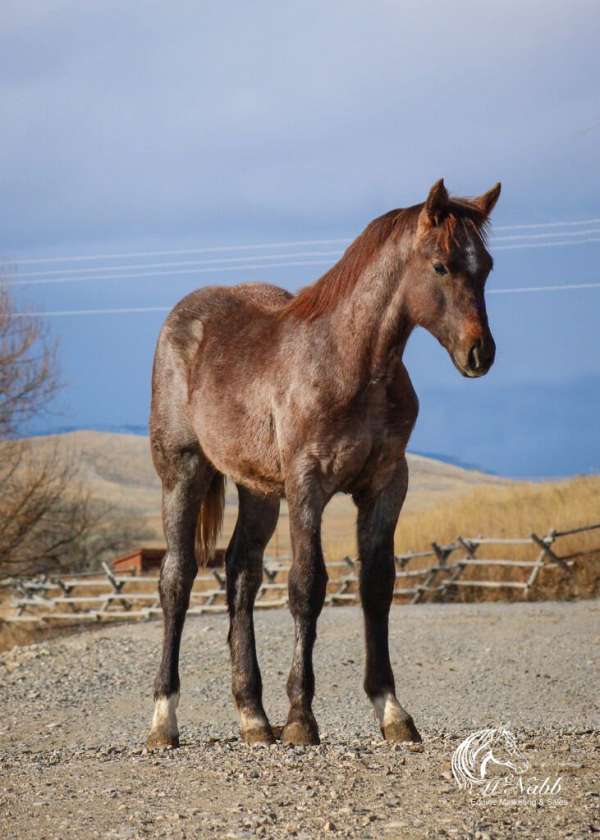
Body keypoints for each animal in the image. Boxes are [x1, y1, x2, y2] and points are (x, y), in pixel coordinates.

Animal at [146, 177, 502, 748]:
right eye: (442, 266)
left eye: (485, 265)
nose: (479, 353)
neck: (350, 364)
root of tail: (181, 320)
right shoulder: (307, 484)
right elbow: (307, 586)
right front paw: (300, 718)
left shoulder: (386, 485)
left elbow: (377, 586)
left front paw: (391, 710)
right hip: (183, 473)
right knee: (176, 580)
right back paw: (164, 719)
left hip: (258, 491)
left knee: (241, 574)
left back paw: (253, 718)